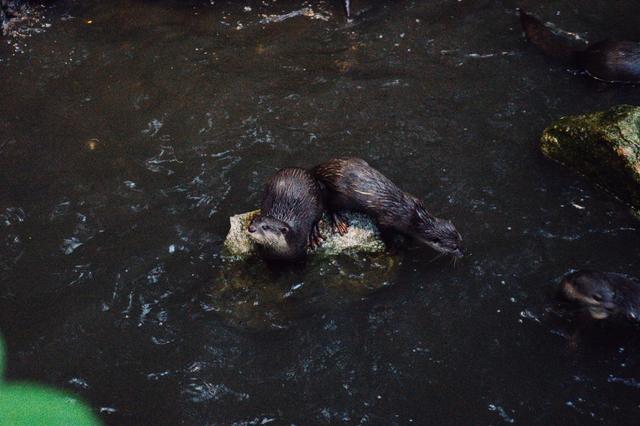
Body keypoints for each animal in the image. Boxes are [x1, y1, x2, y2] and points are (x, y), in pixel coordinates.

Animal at [312, 156, 462, 256]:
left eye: (460, 239)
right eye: (454, 247)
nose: (462, 253)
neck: (413, 216)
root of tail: (325, 168)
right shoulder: (387, 219)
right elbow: (385, 232)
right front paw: (393, 248)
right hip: (340, 195)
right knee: (329, 204)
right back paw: (339, 221)